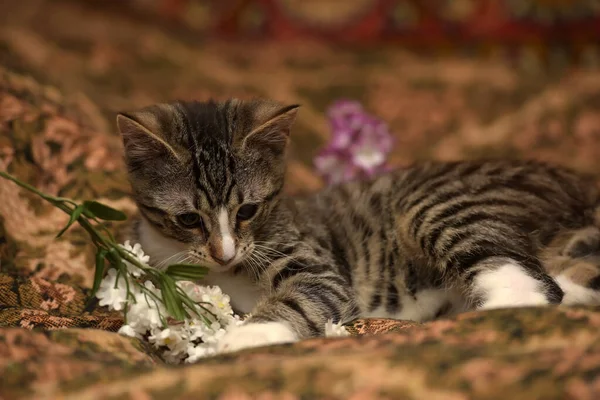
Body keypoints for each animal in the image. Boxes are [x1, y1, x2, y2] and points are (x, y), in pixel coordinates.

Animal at [118, 98, 600, 352]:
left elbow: (303, 298)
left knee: (535, 291)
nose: (225, 252)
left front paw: (238, 340)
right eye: (188, 219)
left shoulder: (317, 264)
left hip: (436, 205)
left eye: (248, 211)